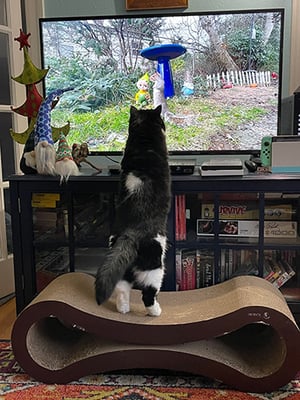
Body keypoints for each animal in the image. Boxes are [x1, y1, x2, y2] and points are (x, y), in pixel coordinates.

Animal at [95, 104, 171, 318]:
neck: (144, 142)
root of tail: (129, 234)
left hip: (122, 265)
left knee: (121, 288)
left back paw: (123, 309)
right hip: (155, 266)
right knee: (148, 293)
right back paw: (156, 312)